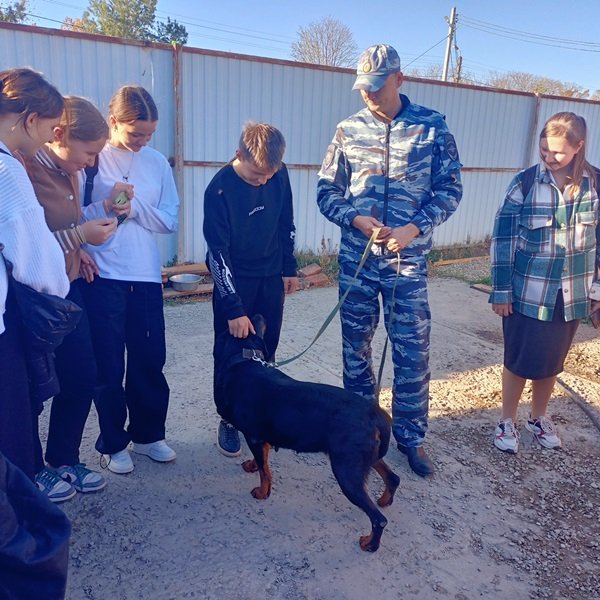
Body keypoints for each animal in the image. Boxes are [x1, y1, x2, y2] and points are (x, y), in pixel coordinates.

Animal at [213, 314, 400, 552]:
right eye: (255, 325)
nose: (258, 315)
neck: (243, 361)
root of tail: (376, 414)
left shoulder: (253, 436)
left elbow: (265, 472)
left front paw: (263, 493)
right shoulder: (260, 438)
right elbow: (262, 461)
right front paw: (252, 465)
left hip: (346, 469)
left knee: (379, 519)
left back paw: (370, 543)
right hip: (364, 458)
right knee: (393, 478)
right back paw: (385, 500)